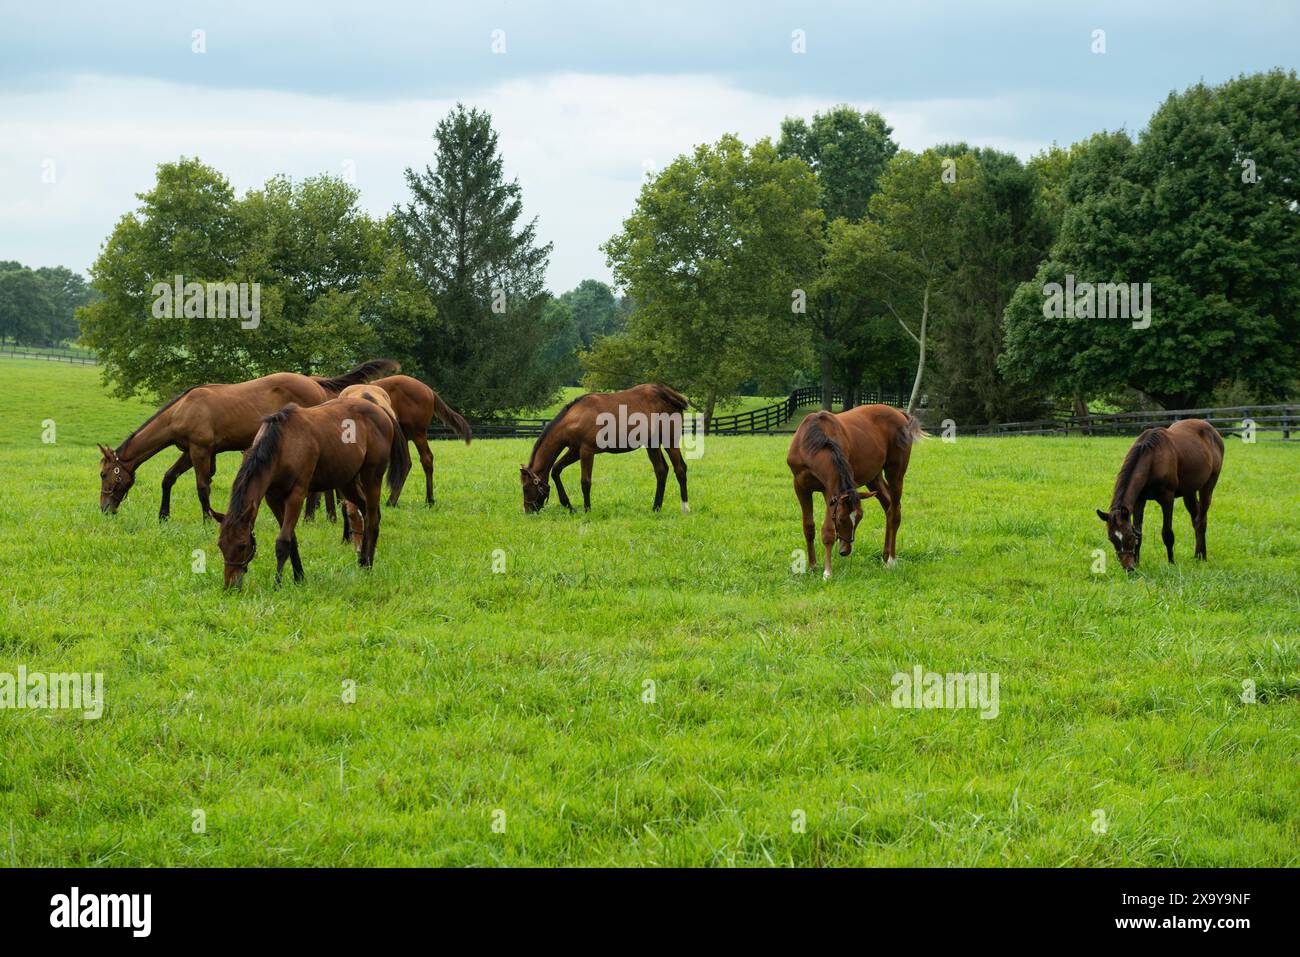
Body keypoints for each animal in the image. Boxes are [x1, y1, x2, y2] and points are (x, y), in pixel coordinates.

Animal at [98, 359, 399, 521]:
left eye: (103, 474)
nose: (104, 509)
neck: (182, 409)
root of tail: (316, 382)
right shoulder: (190, 451)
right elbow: (169, 478)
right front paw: (163, 515)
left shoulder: (200, 450)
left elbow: (202, 487)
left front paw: (207, 519)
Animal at [216, 394, 410, 588]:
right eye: (220, 545)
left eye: (242, 545)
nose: (230, 586)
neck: (281, 443)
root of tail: (380, 411)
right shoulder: (273, 498)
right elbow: (291, 538)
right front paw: (299, 576)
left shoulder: (297, 494)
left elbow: (283, 541)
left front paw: (277, 584)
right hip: (347, 482)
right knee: (367, 513)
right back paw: (363, 560)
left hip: (372, 477)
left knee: (372, 519)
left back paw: (368, 565)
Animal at [520, 384, 690, 513]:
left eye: (526, 488)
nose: (528, 511)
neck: (575, 418)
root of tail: (667, 393)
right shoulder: (575, 451)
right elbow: (556, 470)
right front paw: (569, 506)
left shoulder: (587, 451)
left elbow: (585, 482)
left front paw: (587, 510)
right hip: (652, 444)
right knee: (661, 471)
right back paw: (656, 507)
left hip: (669, 441)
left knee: (680, 469)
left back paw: (685, 507)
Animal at [787, 405, 924, 579]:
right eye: (841, 519)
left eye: (858, 518)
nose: (846, 551)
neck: (811, 442)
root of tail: (900, 414)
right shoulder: (800, 486)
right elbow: (808, 527)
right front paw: (812, 567)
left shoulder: (829, 489)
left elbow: (828, 531)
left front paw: (827, 572)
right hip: (874, 479)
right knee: (889, 507)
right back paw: (885, 555)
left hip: (896, 474)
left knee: (894, 512)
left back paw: (891, 561)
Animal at [1096, 419, 1224, 572]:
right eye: (1111, 539)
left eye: (1128, 536)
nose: (1128, 568)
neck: (1152, 458)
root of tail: (1213, 431)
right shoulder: (1140, 500)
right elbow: (1139, 532)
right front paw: (1138, 562)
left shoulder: (1167, 499)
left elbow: (1167, 533)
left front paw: (1171, 563)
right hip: (1189, 491)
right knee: (1196, 518)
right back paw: (1197, 554)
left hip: (1208, 485)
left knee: (1201, 521)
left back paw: (1202, 557)